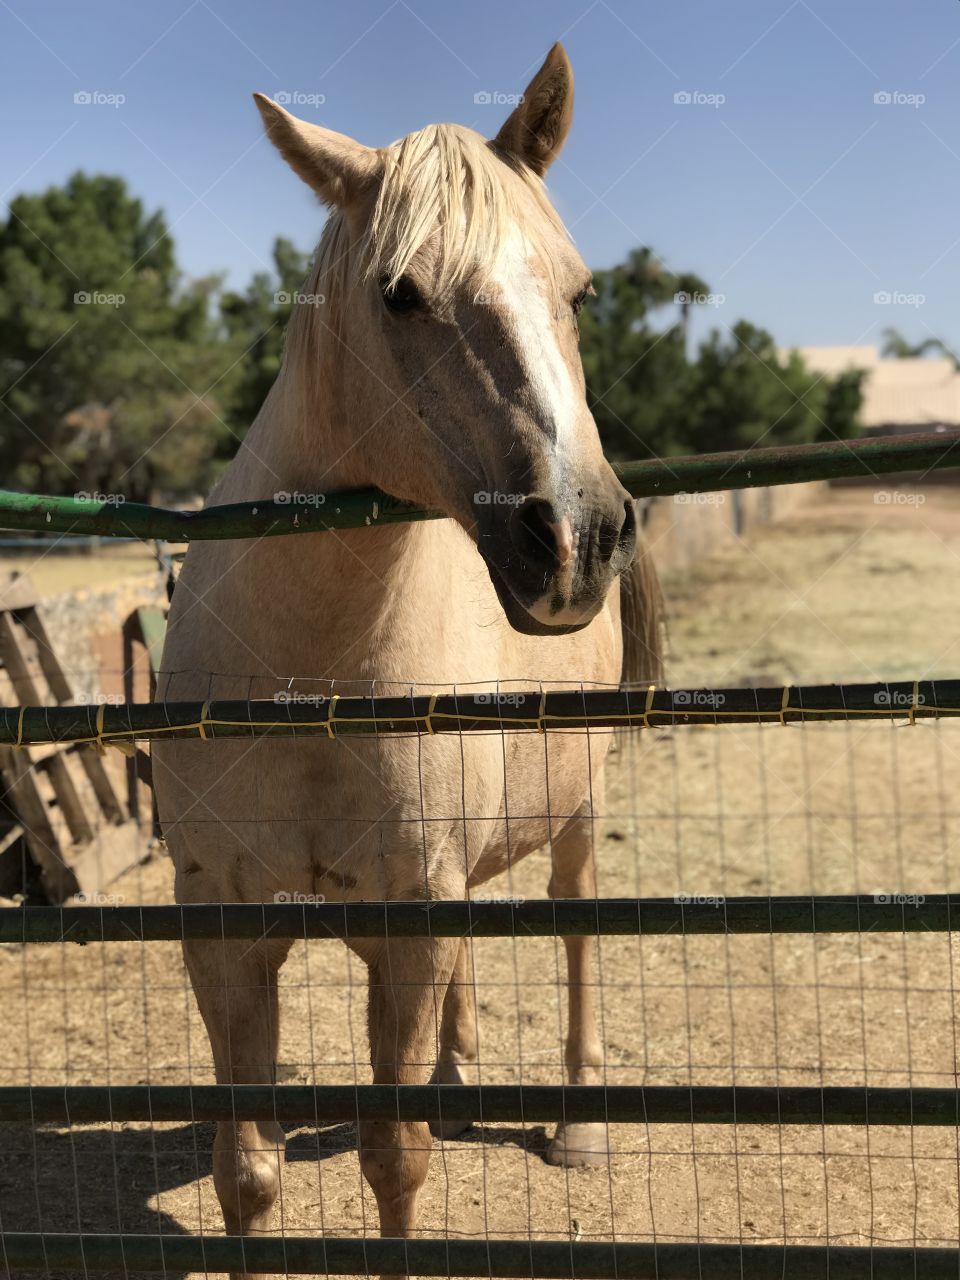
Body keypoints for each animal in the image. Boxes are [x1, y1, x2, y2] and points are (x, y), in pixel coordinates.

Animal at [153, 43, 662, 1272]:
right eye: (399, 293)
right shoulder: (224, 927)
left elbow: (394, 1161)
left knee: (577, 926)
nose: (579, 537)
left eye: (580, 291)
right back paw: (458, 1077)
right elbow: (246, 1172)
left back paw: (577, 1126)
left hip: (576, 808)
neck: (306, 672)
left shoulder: (407, 914)